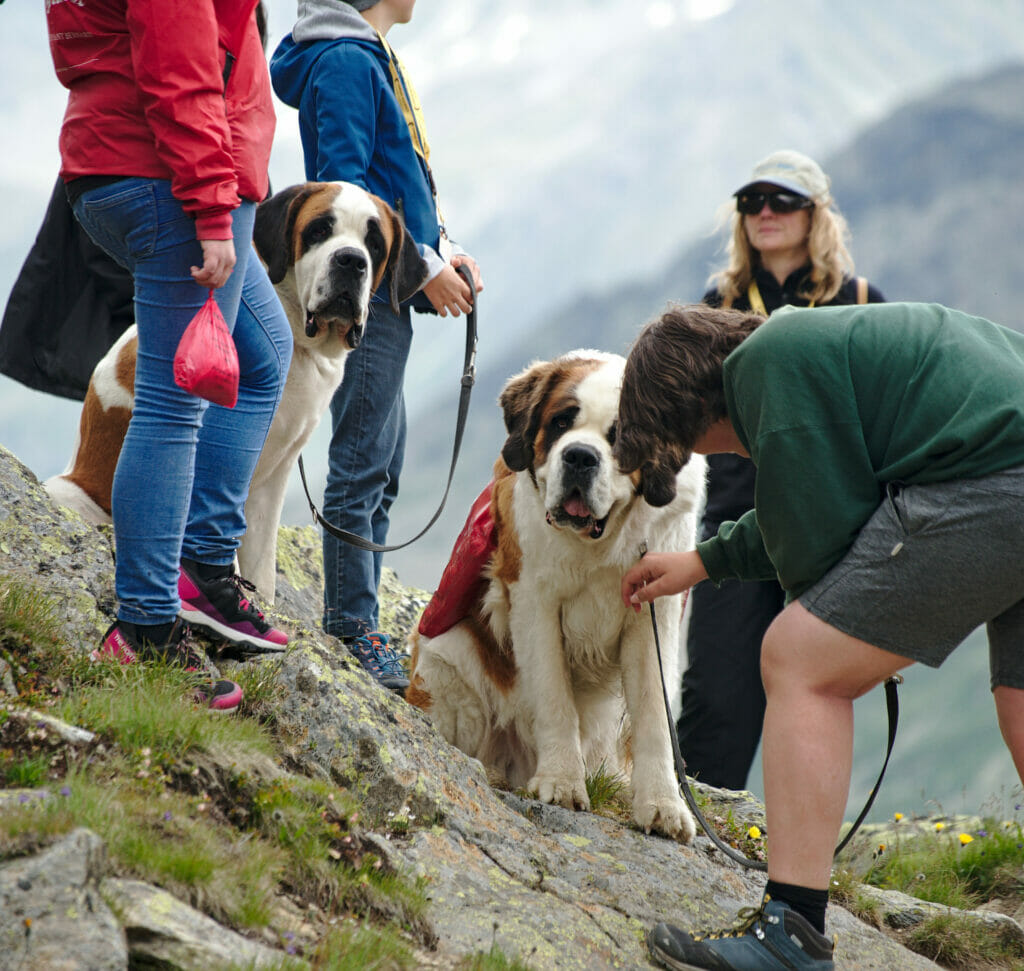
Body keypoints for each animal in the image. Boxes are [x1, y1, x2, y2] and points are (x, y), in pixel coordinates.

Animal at [44, 183, 425, 602]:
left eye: (374, 244)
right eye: (319, 230)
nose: (351, 260)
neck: (296, 336)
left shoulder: (274, 477)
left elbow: (261, 564)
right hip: (69, 492)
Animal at [403, 348, 708, 843]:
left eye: (619, 437)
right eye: (562, 422)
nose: (580, 456)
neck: (600, 544)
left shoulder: (653, 612)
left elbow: (654, 718)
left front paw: (662, 805)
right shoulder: (534, 602)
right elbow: (554, 696)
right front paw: (562, 781)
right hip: (446, 661)